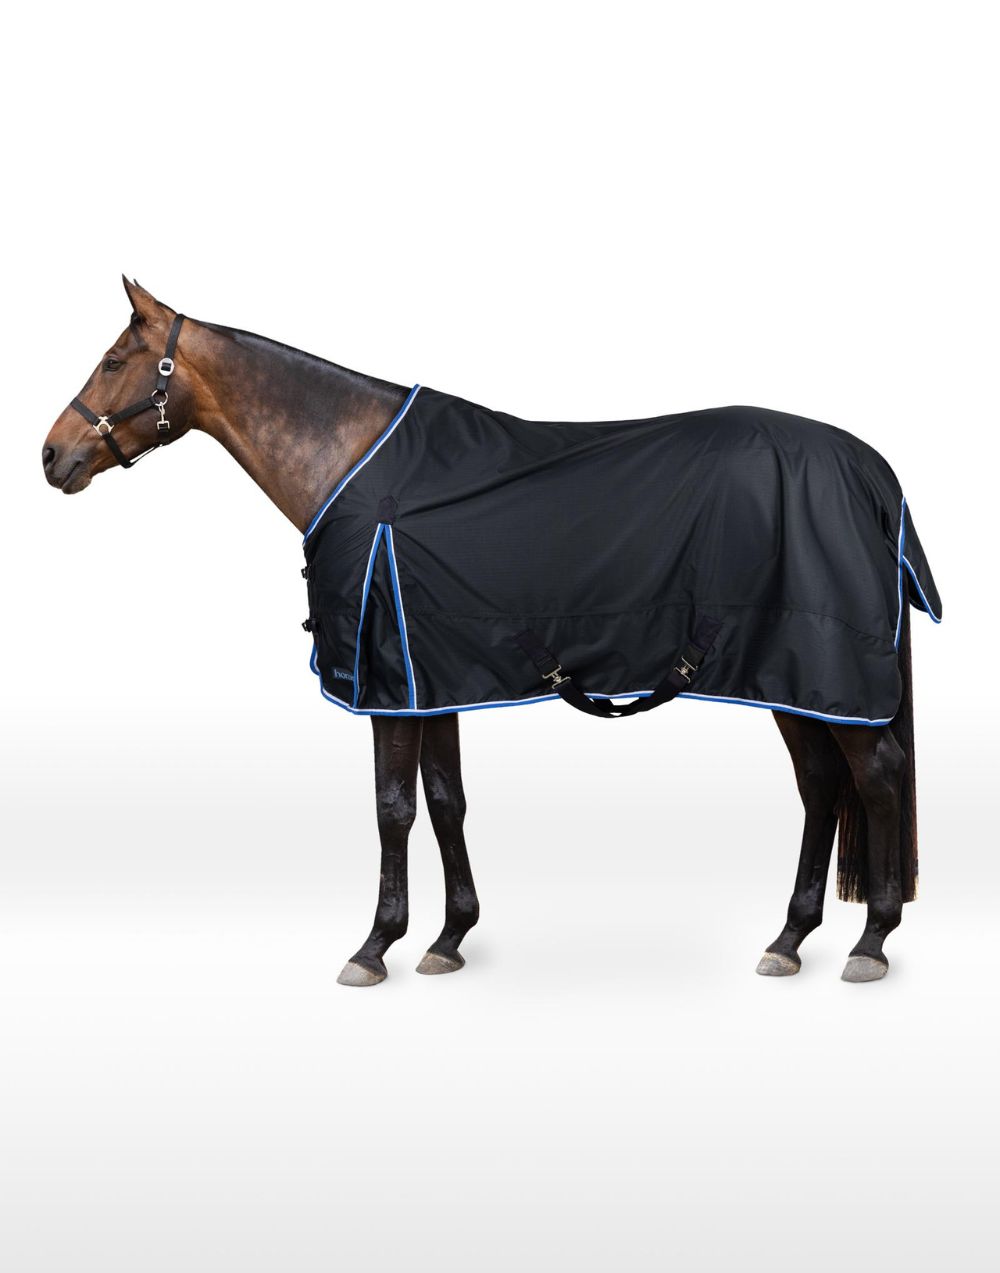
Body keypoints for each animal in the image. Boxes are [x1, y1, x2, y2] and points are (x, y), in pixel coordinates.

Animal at [42, 277, 940, 987]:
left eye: (115, 361)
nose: (51, 455)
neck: (351, 460)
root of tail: (871, 472)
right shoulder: (431, 680)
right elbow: (446, 800)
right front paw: (449, 936)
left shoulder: (390, 686)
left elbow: (393, 808)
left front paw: (375, 945)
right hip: (793, 678)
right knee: (821, 784)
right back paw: (790, 936)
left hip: (826, 673)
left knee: (877, 777)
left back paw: (871, 939)